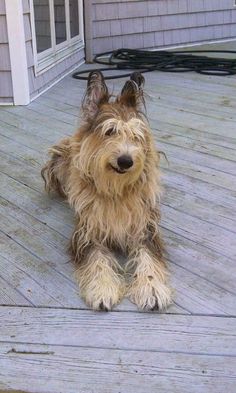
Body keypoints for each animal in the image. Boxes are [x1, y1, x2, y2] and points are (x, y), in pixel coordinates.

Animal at [41, 69, 172, 310]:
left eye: (135, 136)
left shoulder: (145, 228)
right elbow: (97, 259)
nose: (126, 161)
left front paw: (151, 288)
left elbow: (148, 256)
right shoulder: (87, 232)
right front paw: (103, 288)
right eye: (109, 131)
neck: (115, 189)